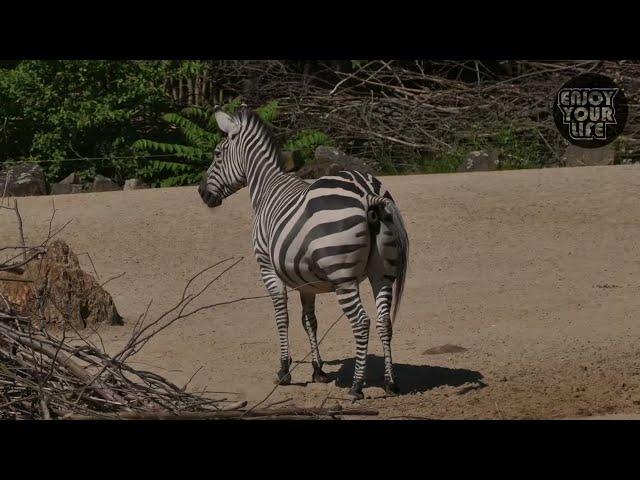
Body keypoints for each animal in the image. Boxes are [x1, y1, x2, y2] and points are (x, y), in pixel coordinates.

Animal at [199, 106, 410, 402]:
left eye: (218, 154)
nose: (202, 193)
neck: (267, 187)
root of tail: (369, 194)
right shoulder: (305, 280)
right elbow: (309, 321)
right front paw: (318, 370)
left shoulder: (267, 268)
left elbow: (282, 317)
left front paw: (284, 370)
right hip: (383, 274)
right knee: (383, 321)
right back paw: (390, 382)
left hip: (342, 276)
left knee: (361, 322)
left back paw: (356, 386)